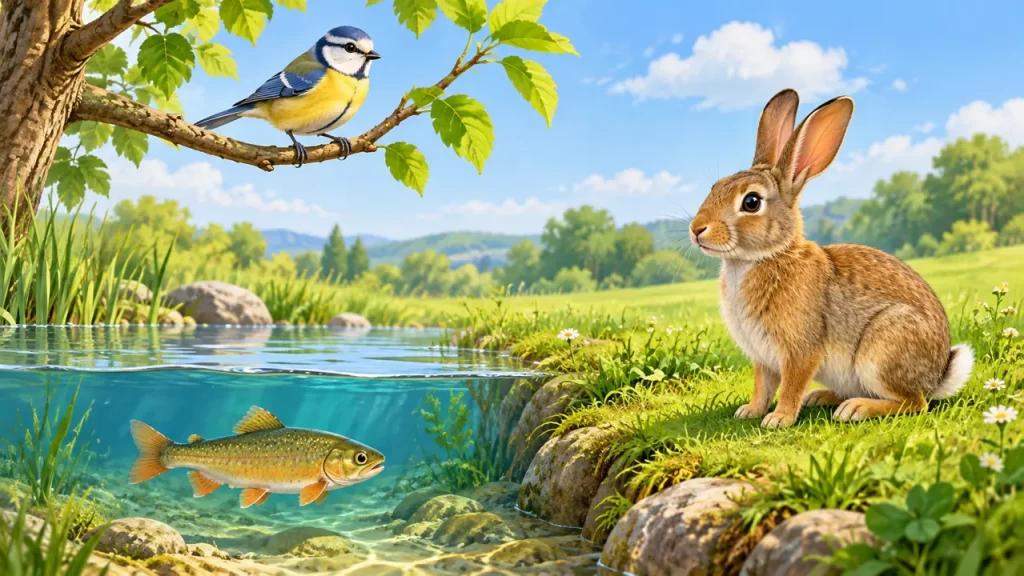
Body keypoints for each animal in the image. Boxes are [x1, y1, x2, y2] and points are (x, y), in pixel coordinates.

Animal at [688, 88, 974, 428]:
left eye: (751, 202)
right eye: (715, 187)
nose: (697, 229)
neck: (761, 257)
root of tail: (938, 375)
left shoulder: (800, 350)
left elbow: (791, 384)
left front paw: (778, 419)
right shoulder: (763, 358)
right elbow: (763, 385)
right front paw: (750, 411)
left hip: (883, 350)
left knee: (914, 402)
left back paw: (856, 409)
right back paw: (822, 397)